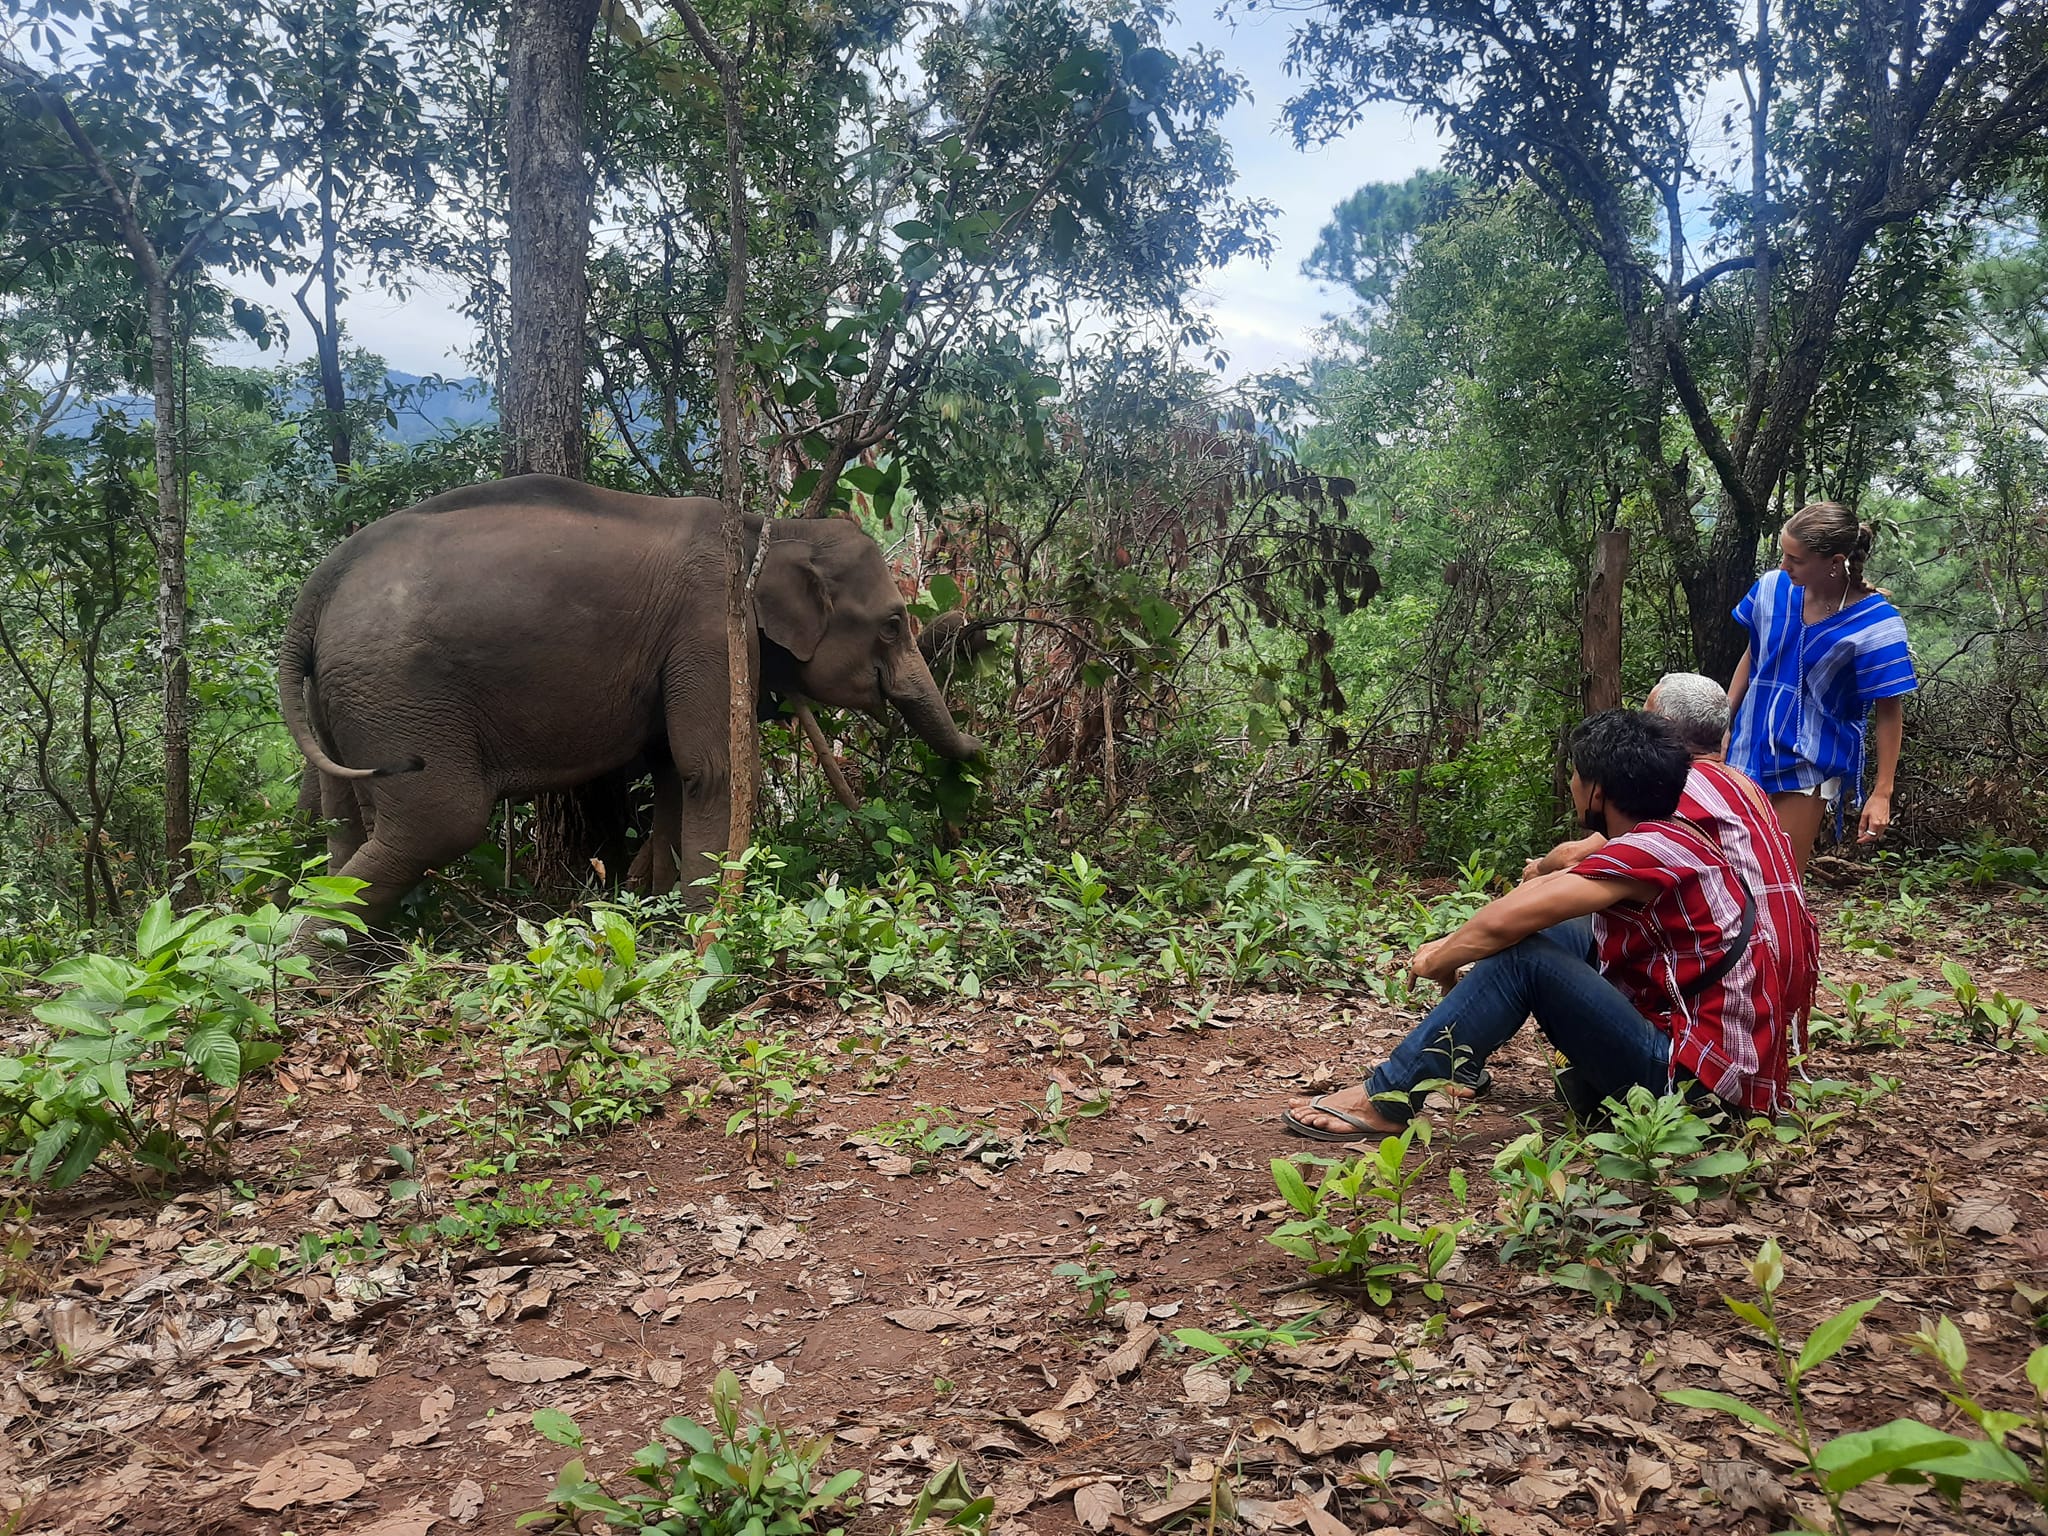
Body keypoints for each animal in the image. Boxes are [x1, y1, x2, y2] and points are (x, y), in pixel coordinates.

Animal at [280, 479, 983, 937]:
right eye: (891, 625)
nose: (980, 757)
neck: (768, 528)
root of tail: (318, 589)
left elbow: (673, 772)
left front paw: (658, 911)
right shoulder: (708, 627)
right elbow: (713, 769)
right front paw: (709, 932)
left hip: (343, 699)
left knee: (342, 822)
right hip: (397, 695)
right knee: (440, 820)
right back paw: (319, 973)